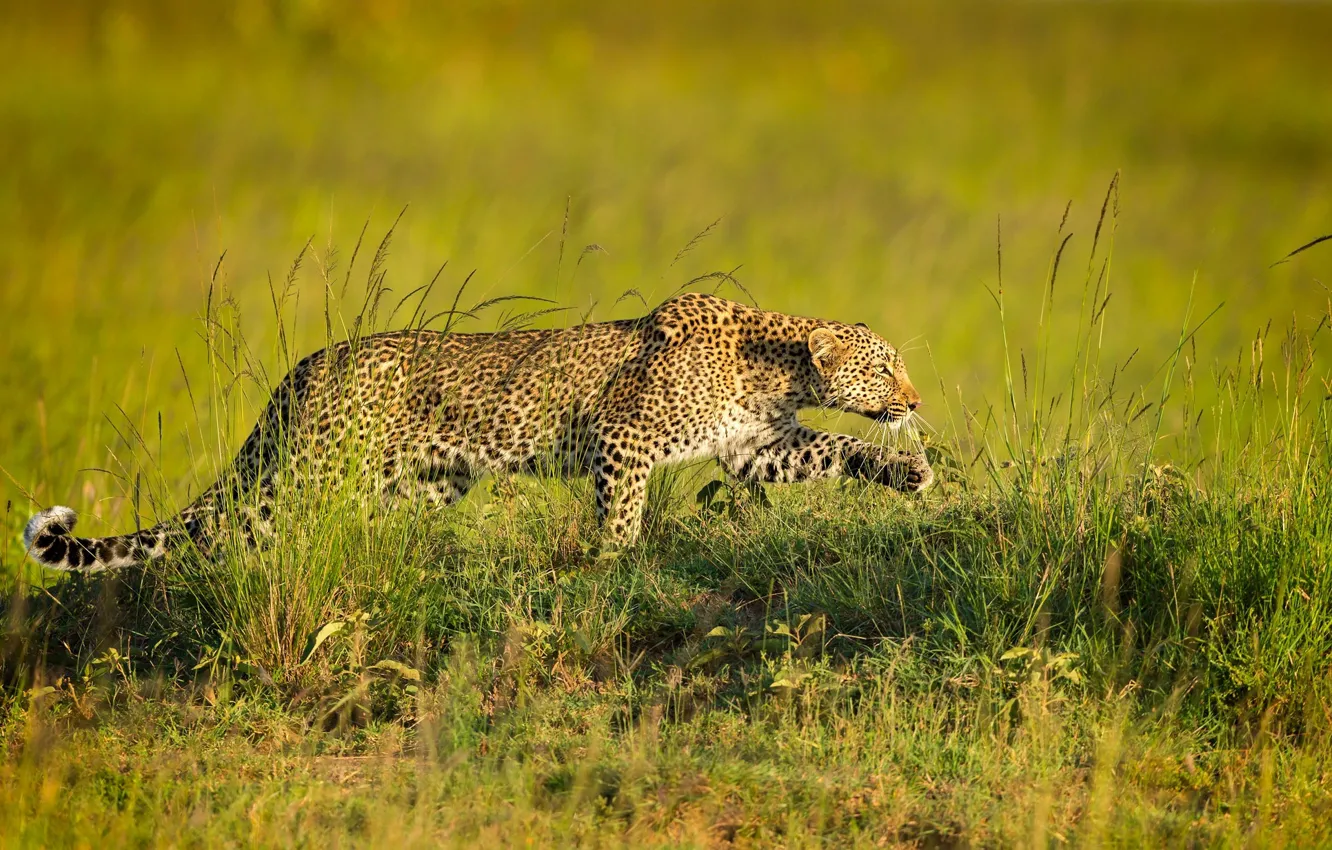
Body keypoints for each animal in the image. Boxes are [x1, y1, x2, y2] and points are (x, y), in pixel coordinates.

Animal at [23, 292, 932, 572]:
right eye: (885, 369)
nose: (917, 399)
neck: (775, 365)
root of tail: (307, 367)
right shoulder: (625, 438)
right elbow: (622, 512)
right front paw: (617, 561)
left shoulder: (756, 448)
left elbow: (841, 448)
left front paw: (910, 475)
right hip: (308, 473)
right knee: (235, 533)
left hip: (418, 485)